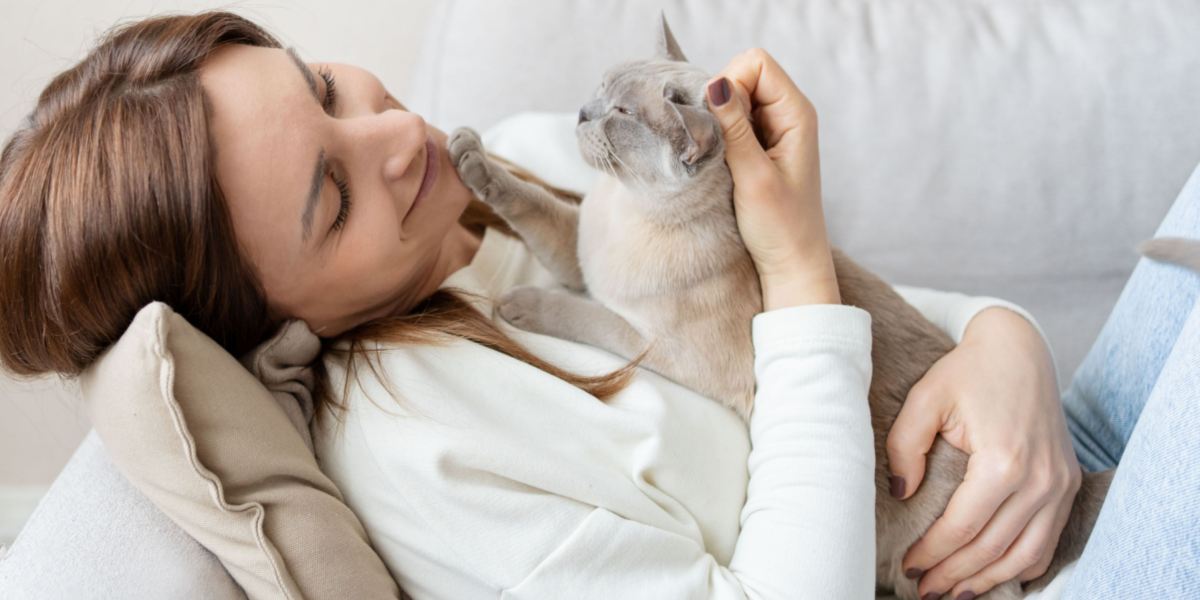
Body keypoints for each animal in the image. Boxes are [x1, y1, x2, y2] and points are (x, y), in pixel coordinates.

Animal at [451, 14, 1113, 600]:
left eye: (621, 116)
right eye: (601, 89)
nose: (583, 113)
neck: (625, 214)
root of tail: (1078, 486)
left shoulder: (655, 344)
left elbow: (585, 315)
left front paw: (516, 305)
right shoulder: (576, 252)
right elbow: (533, 205)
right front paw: (469, 157)